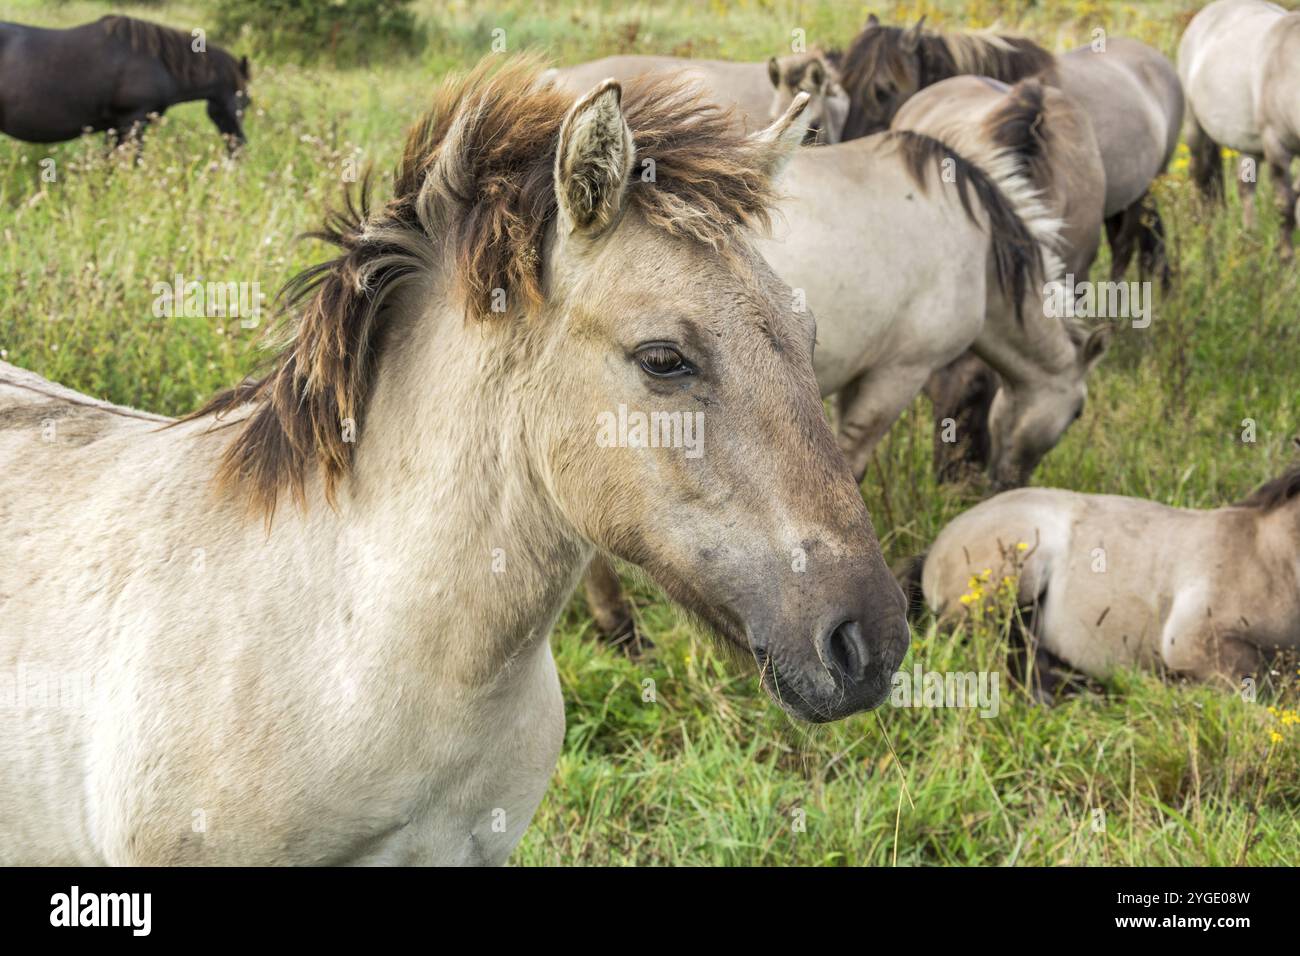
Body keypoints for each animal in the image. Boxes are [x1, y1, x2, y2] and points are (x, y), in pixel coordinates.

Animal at [1180, 0, 1300, 260]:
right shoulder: (1276, 146)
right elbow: (1285, 205)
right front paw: (1286, 258)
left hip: (1248, 144)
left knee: (1245, 188)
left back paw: (1249, 237)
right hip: (1195, 131)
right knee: (1199, 177)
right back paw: (1202, 228)